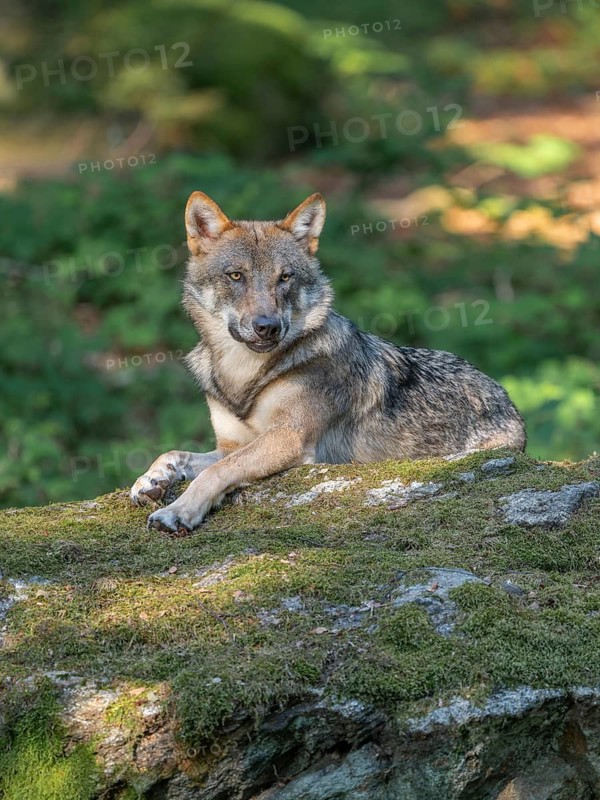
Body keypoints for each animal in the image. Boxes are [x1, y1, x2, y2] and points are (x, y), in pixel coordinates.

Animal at [130, 191, 526, 532]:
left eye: (284, 277)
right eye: (236, 276)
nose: (267, 327)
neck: (243, 376)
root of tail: (508, 401)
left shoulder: (288, 439)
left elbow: (218, 472)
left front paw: (177, 510)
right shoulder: (231, 444)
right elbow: (176, 453)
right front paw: (150, 479)